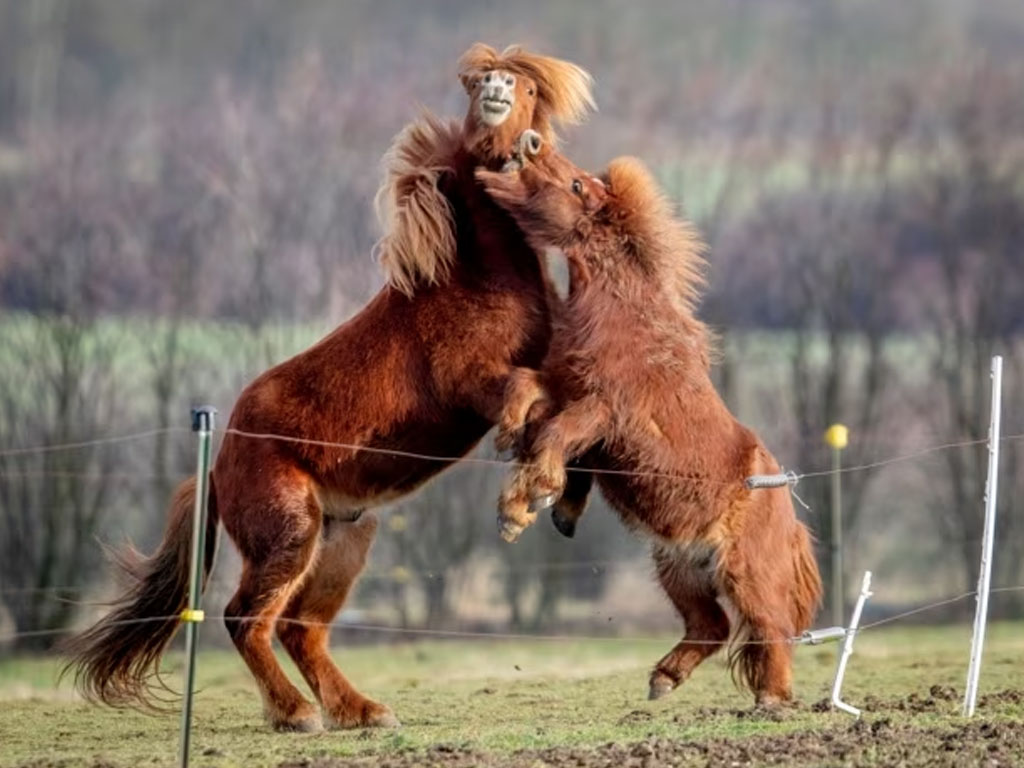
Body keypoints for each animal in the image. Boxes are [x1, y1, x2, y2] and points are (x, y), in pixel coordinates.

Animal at [66, 45, 593, 737]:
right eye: (478, 85)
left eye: (528, 90)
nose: (499, 90)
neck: (476, 276)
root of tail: (220, 463)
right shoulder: (471, 381)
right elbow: (527, 396)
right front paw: (523, 488)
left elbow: (568, 411)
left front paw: (548, 494)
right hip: (291, 533)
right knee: (246, 618)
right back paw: (297, 715)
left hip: (345, 537)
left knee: (301, 628)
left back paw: (361, 711)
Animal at [479, 151, 823, 708]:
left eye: (576, 184)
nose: (526, 147)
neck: (624, 316)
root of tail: (786, 504)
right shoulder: (565, 388)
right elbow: (524, 389)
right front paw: (514, 446)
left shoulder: (601, 410)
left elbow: (555, 437)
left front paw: (525, 505)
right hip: (679, 568)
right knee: (711, 626)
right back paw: (663, 679)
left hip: (744, 574)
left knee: (771, 628)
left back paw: (771, 701)